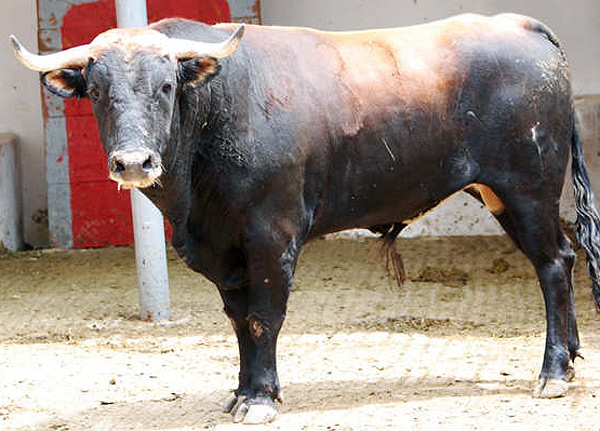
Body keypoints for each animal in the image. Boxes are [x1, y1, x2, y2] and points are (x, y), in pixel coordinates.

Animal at [11, 13, 600, 424]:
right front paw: (242, 392)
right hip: (506, 194)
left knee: (553, 264)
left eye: (166, 87)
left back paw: (552, 372)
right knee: (561, 261)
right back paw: (572, 357)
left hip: (527, 189)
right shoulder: (222, 249)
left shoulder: (271, 236)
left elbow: (262, 317)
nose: (134, 162)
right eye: (97, 91)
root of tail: (518, 24)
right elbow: (238, 320)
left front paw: (260, 400)